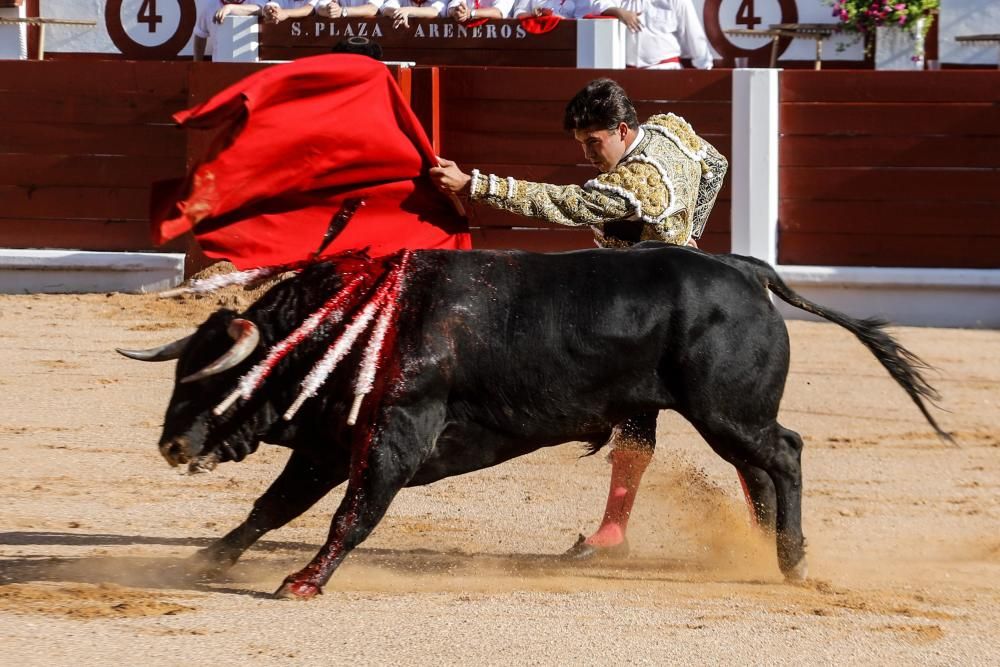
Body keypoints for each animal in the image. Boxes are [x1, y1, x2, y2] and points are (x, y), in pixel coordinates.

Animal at [119, 245, 944, 600]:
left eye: (219, 377)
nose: (171, 443)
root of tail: (745, 269)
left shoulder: (392, 437)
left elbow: (349, 515)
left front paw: (302, 581)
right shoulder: (330, 441)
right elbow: (273, 505)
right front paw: (211, 558)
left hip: (726, 410)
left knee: (787, 452)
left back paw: (793, 557)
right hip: (725, 416)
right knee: (762, 468)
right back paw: (763, 552)